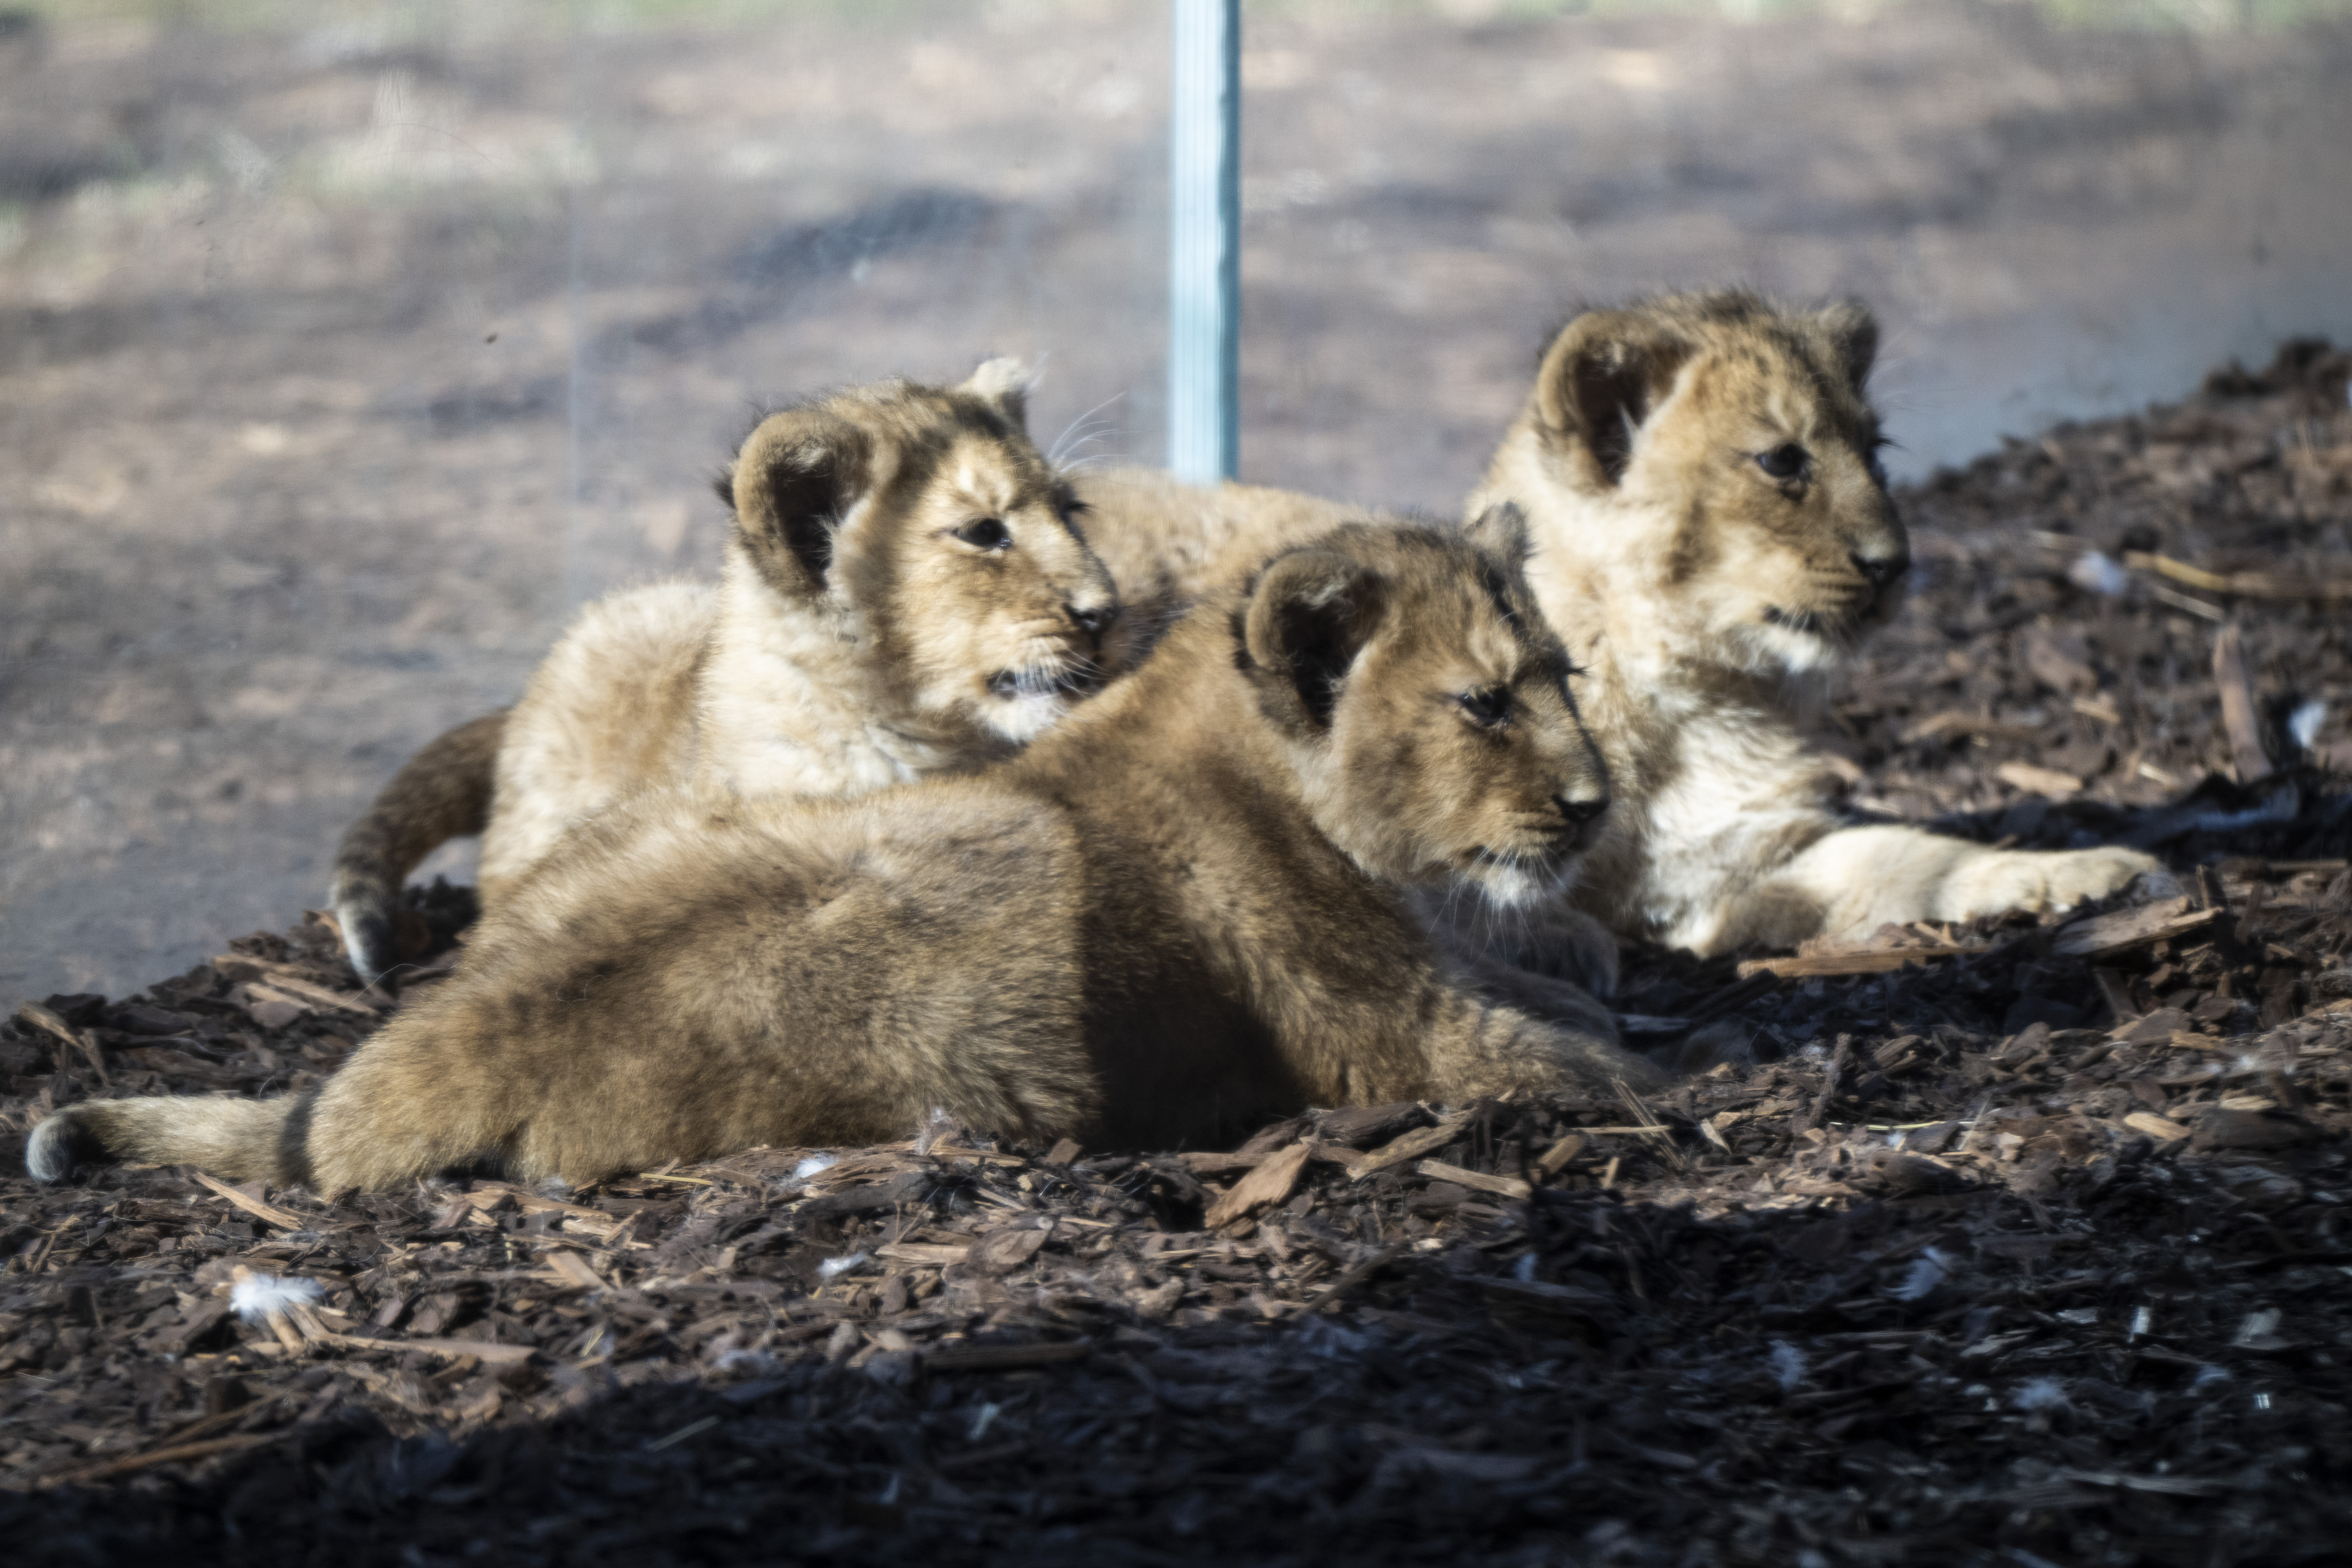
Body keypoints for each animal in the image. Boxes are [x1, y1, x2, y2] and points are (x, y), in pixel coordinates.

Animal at [31, 516, 1663, 1190]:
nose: (1593, 806)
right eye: (1480, 703)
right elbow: (1564, 1064)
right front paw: (1686, 1076)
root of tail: (467, 1023)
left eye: (1564, 672)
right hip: (998, 876)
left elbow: (1556, 996)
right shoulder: (1387, 1033)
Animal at [1075, 290, 2164, 958]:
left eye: (1876, 448)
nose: (1894, 564)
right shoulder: (1615, 890)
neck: (1702, 694)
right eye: (1782, 461)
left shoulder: (1747, 848)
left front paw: (2096, 872)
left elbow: (1910, 852)